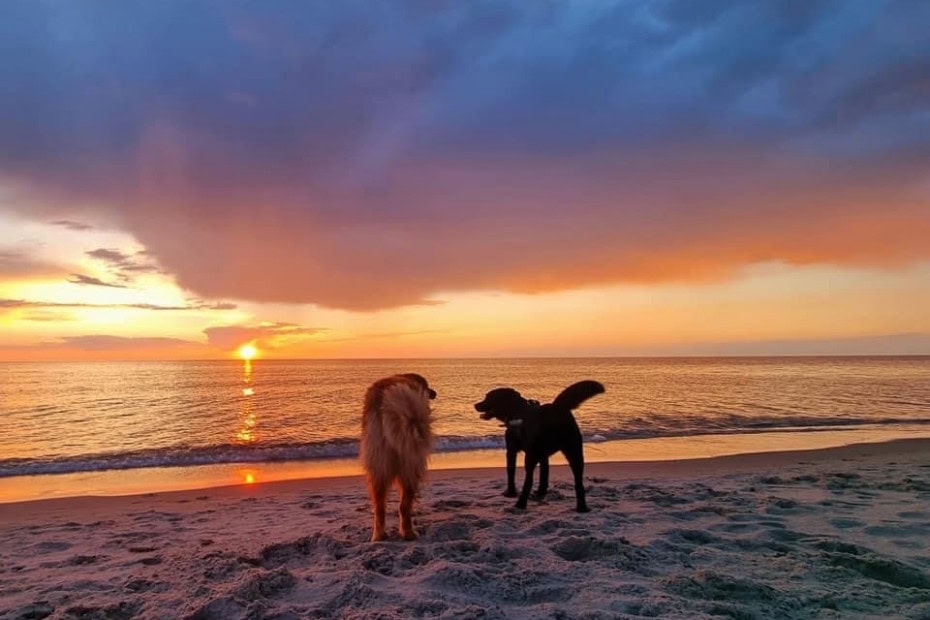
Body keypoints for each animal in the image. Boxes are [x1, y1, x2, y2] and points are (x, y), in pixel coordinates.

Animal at [360, 372, 436, 544]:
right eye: (427, 386)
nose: (434, 393)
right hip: (410, 465)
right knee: (404, 506)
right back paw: (408, 533)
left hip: (379, 465)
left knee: (380, 507)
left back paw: (379, 536)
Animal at [474, 380, 604, 512]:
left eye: (488, 397)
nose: (475, 405)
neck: (518, 411)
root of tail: (555, 410)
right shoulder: (542, 454)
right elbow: (544, 472)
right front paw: (541, 491)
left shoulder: (512, 450)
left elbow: (511, 472)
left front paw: (510, 493)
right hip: (574, 451)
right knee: (578, 482)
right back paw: (582, 507)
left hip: (534, 455)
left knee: (529, 480)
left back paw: (520, 504)